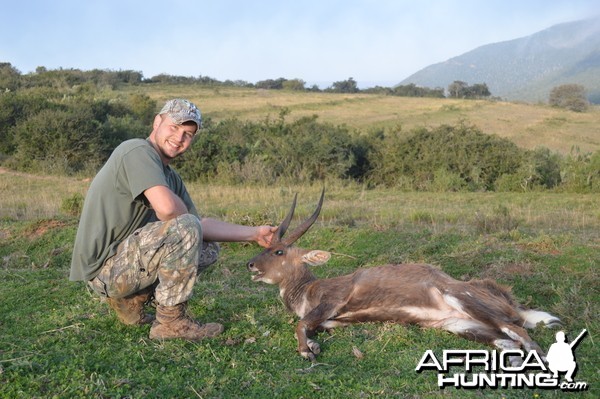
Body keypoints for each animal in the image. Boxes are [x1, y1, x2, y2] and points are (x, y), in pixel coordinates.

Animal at [245, 191, 564, 366]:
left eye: (278, 250)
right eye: (266, 246)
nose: (250, 264)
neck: (308, 289)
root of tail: (506, 297)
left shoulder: (331, 302)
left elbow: (300, 324)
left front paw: (308, 351)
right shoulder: (330, 320)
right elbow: (312, 326)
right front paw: (312, 345)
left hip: (464, 301)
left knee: (522, 333)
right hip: (461, 327)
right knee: (510, 343)